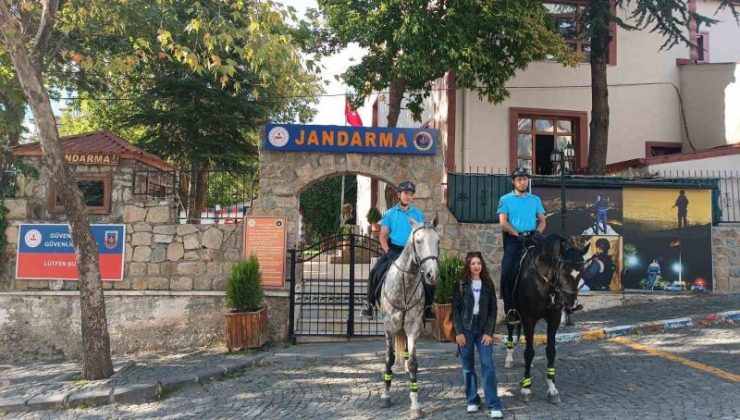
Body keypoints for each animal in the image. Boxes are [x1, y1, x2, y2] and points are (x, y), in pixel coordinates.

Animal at [378, 215, 436, 418]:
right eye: (418, 241)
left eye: (438, 241)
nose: (432, 275)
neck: (406, 284)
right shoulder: (388, 327)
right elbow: (388, 358)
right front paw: (386, 396)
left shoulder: (413, 327)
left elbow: (413, 364)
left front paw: (415, 405)